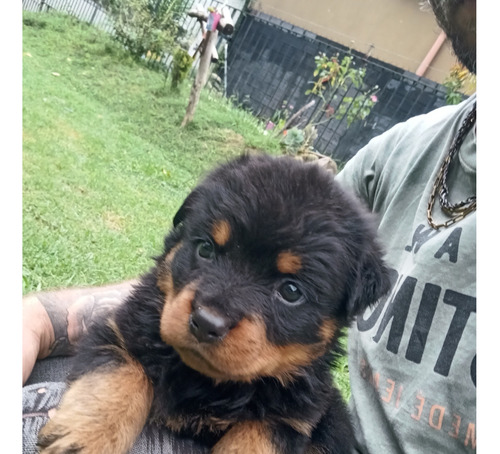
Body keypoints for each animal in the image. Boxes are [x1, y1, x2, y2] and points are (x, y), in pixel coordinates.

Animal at [39, 153, 390, 454]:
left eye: (291, 291)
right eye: (205, 249)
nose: (206, 322)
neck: (206, 381)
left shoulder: (292, 417)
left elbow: (256, 436)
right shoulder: (119, 329)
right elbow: (119, 376)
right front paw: (84, 437)